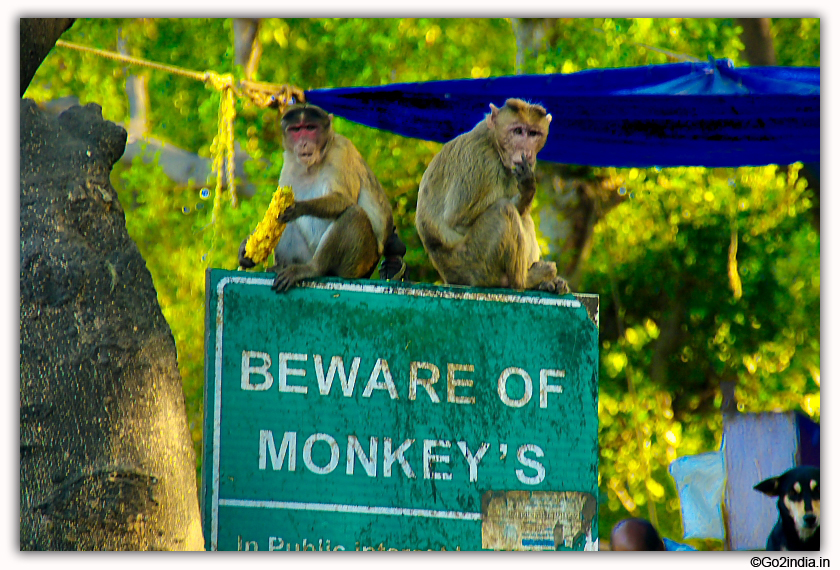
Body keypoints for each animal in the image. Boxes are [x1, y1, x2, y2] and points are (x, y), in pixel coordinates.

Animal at [238, 103, 408, 288]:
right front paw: (246, 249)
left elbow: (343, 199)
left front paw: (297, 208)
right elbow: (273, 216)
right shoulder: (289, 162)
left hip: (359, 263)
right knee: (285, 225)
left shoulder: (341, 150)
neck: (312, 165)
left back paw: (313, 268)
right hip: (305, 255)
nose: (304, 143)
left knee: (354, 215)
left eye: (310, 128)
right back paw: (281, 266)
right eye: (296, 130)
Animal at [416, 98, 568, 292]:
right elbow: (457, 221)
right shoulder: (480, 160)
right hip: (474, 264)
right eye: (518, 131)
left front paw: (526, 192)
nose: (526, 152)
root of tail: (448, 276)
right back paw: (524, 281)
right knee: (503, 210)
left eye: (533, 133)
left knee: (522, 216)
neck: (494, 144)